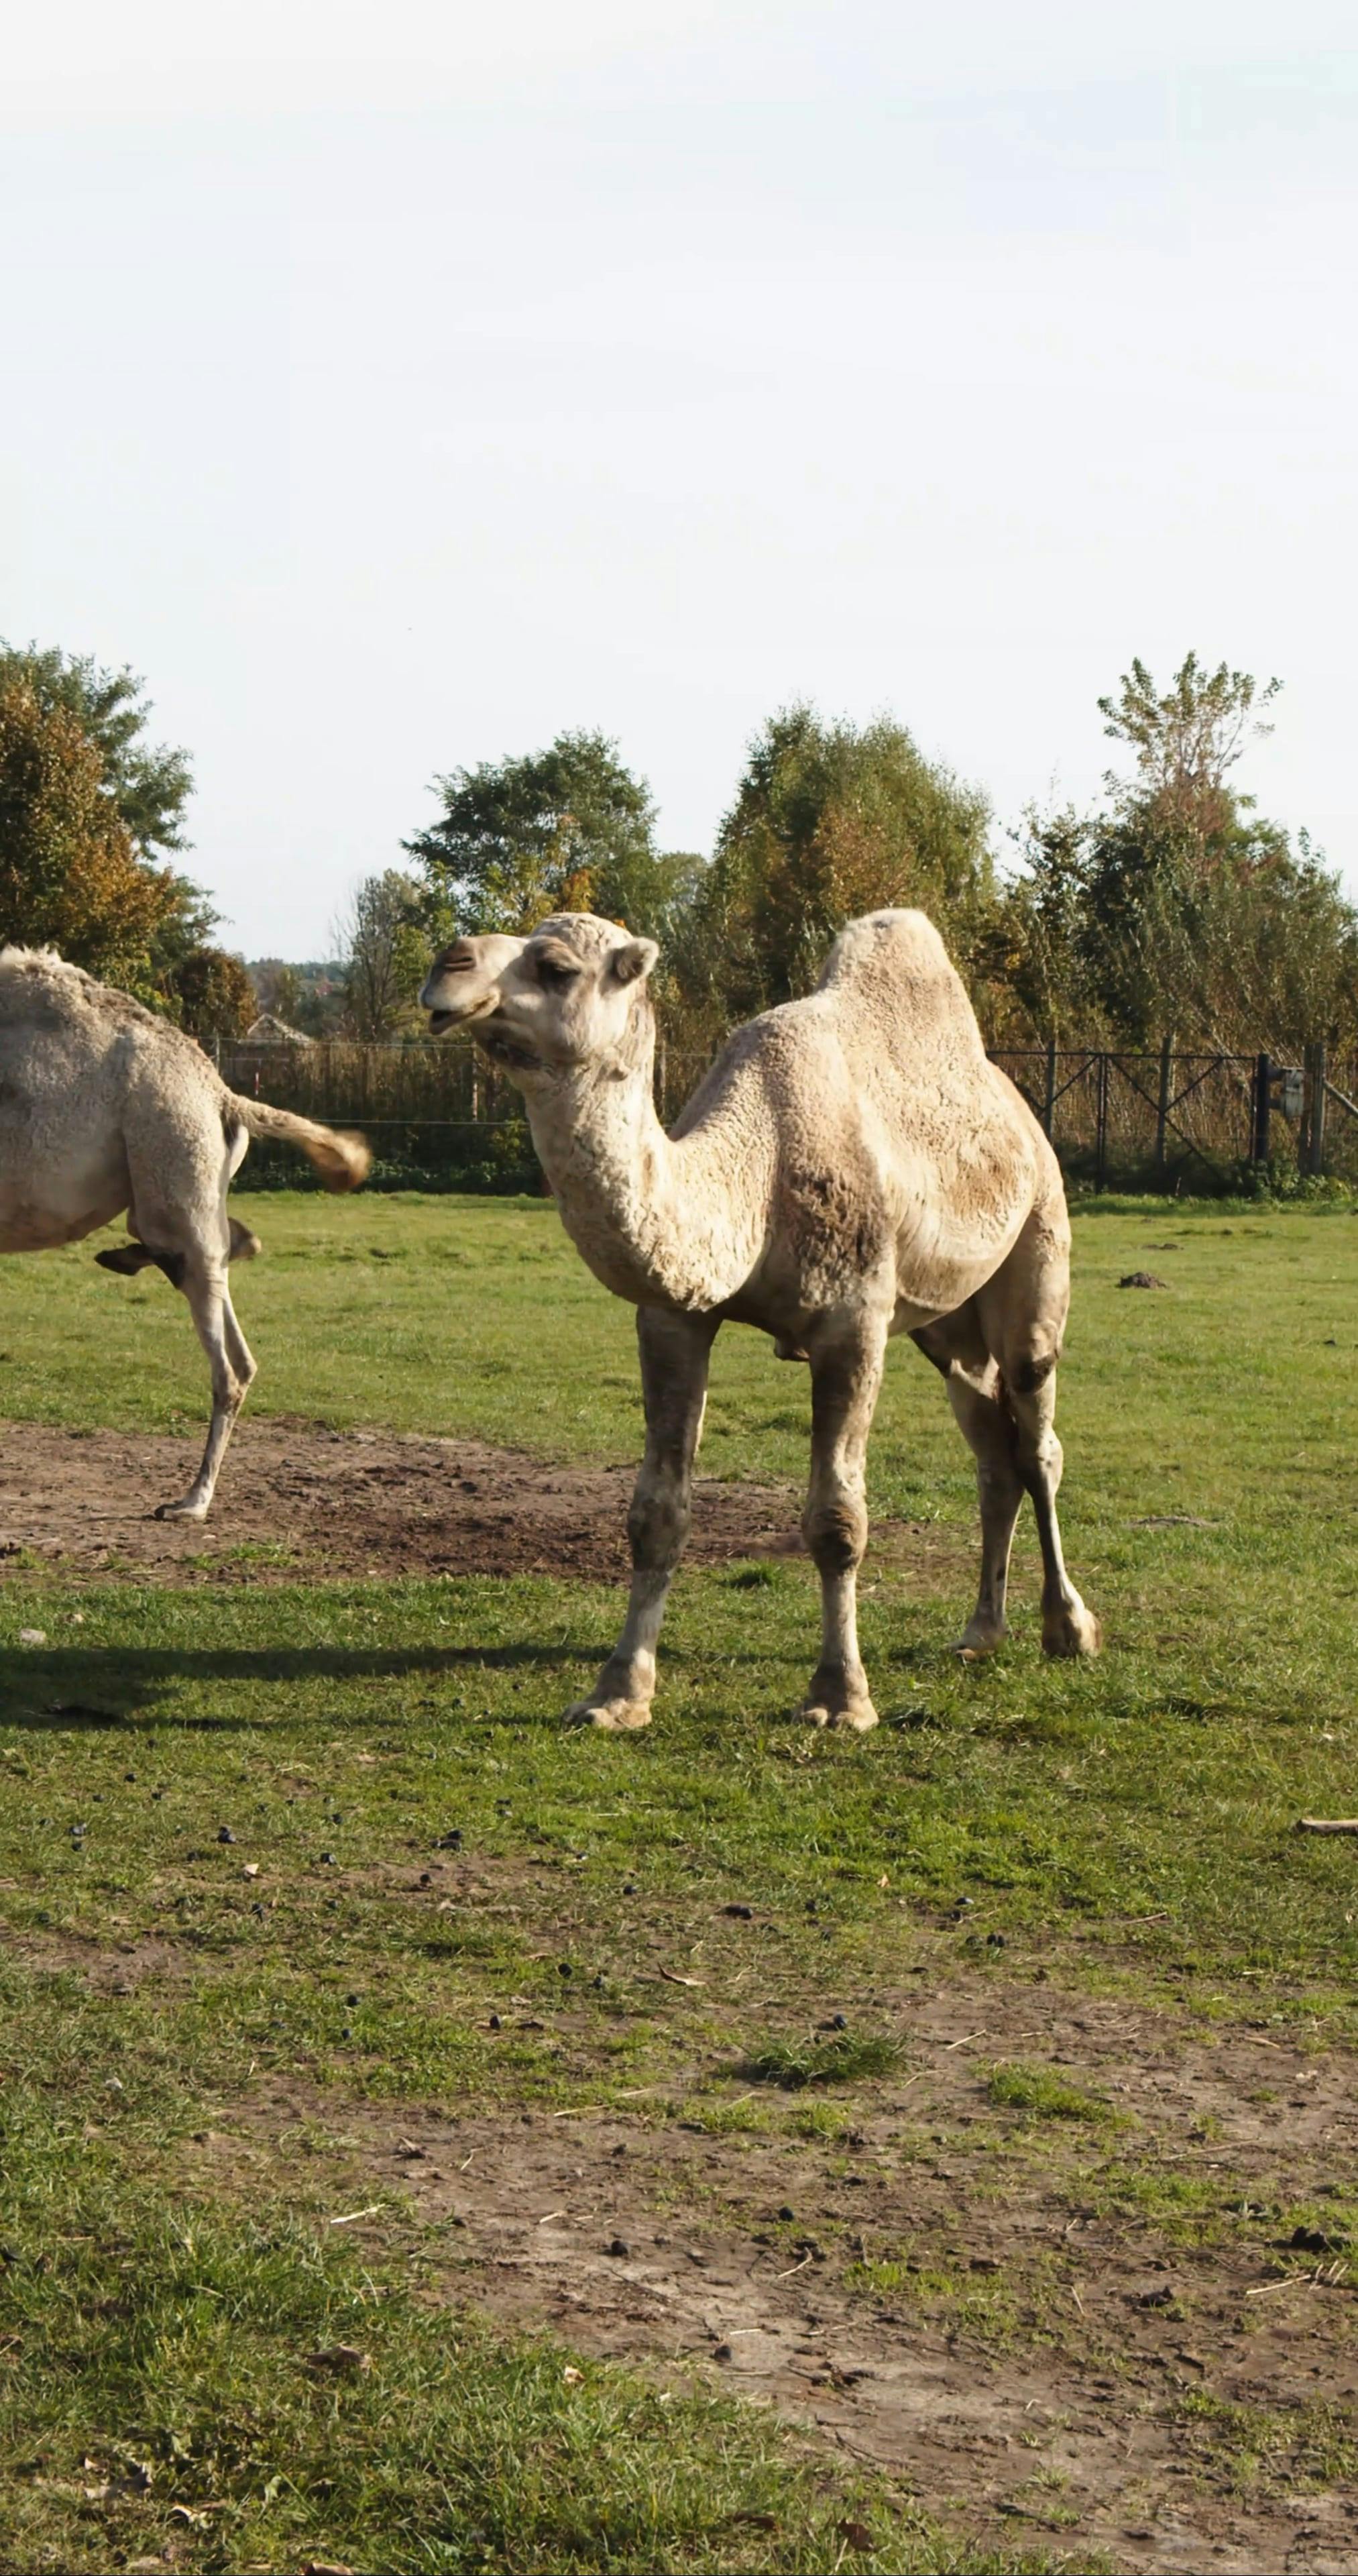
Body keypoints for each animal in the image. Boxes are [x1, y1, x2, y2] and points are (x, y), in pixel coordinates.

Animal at [0, 947, 370, 1521]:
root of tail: (220, 1092)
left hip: (172, 1162)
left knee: (227, 1364)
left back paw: (191, 1501)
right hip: (186, 1197)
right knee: (230, 1318)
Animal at [421, 907, 1100, 1734]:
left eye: (555, 967)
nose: (447, 966)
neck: (755, 1173)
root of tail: (1020, 1112)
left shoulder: (852, 1325)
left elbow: (837, 1521)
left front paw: (839, 1698)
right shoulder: (673, 1319)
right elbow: (656, 1513)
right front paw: (617, 1694)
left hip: (1039, 1241)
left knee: (1037, 1441)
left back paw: (1069, 1629)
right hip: (948, 1331)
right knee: (992, 1448)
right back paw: (979, 1633)